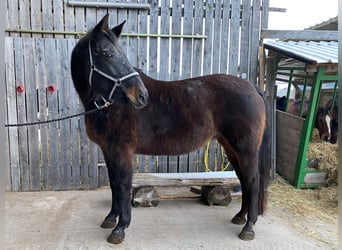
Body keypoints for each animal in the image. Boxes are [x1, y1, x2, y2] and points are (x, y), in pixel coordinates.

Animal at [71, 14, 272, 244]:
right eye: (108, 54)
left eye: (116, 54)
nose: (141, 96)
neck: (111, 102)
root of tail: (253, 88)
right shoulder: (108, 150)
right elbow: (113, 183)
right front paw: (111, 218)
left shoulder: (121, 151)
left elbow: (122, 185)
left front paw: (120, 228)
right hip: (232, 149)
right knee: (244, 180)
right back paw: (240, 217)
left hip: (246, 150)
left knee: (253, 181)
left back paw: (248, 227)